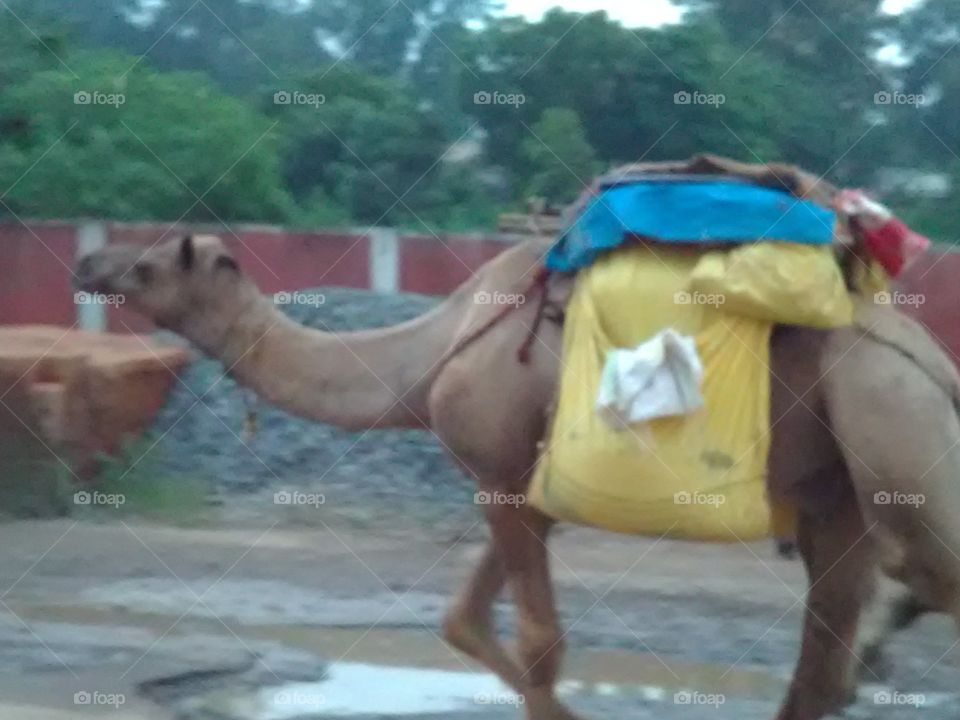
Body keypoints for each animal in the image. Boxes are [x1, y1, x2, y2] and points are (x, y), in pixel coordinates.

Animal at [75, 211, 960, 719]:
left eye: (147, 267)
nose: (87, 267)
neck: (432, 352)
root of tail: (934, 365)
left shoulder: (499, 470)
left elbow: (537, 643)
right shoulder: (524, 490)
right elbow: (462, 619)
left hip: (894, 427)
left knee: (910, 586)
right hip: (839, 490)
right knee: (823, 661)